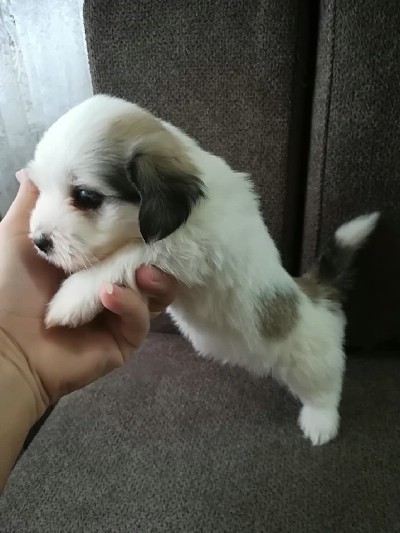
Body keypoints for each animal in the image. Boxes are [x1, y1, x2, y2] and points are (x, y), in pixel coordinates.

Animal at [27, 95, 378, 444]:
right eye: (40, 188)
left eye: (86, 196)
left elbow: (129, 252)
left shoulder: (186, 244)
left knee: (325, 388)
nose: (39, 241)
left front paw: (71, 298)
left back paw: (321, 422)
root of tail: (317, 293)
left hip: (310, 361)